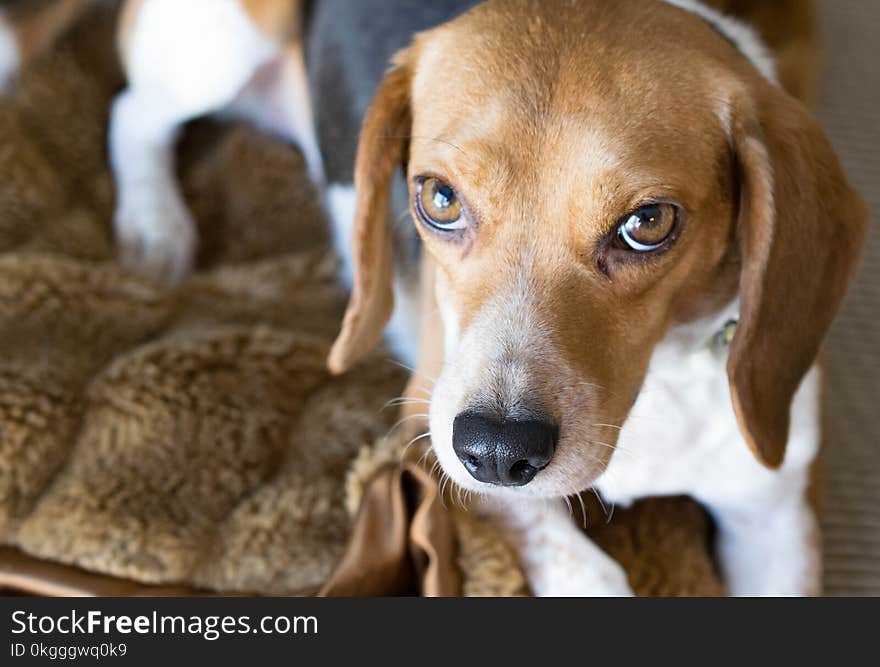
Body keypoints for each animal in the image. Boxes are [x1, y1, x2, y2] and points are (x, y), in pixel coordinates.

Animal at [1, 0, 868, 596]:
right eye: (439, 199)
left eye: (649, 222)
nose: (497, 449)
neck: (654, 389)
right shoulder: (436, 429)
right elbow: (587, 569)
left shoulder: (774, 516)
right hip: (219, 43)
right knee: (130, 113)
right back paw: (154, 226)